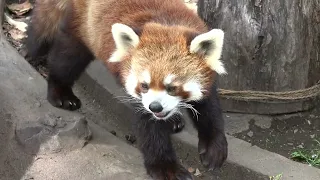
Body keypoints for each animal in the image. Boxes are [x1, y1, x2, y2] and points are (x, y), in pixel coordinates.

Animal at [26, 0, 228, 179]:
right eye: (144, 85)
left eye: (172, 87)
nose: (155, 107)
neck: (167, 24)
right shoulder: (141, 98)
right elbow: (149, 126)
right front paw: (166, 167)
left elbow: (209, 108)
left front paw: (214, 147)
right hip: (84, 26)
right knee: (67, 57)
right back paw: (60, 92)